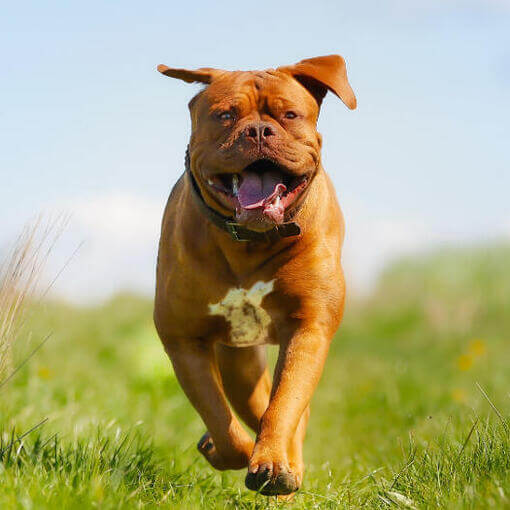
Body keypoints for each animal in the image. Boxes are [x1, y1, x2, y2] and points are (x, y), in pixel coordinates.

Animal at [153, 54, 356, 494]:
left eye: (289, 114)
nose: (259, 130)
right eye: (225, 114)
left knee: (286, 410)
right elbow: (219, 418)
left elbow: (285, 404)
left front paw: (275, 463)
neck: (251, 240)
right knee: (249, 405)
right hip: (238, 364)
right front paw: (235, 451)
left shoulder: (309, 327)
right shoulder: (184, 340)